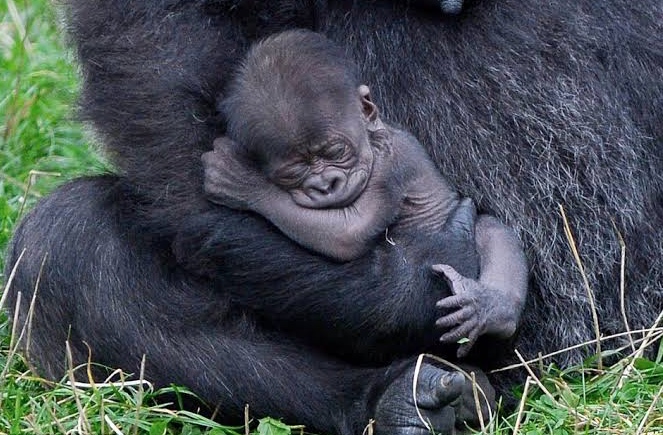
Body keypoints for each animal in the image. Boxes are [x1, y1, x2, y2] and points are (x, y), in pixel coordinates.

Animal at [205, 30, 528, 358]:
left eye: (336, 152)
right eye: (292, 173)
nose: (327, 185)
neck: (373, 137)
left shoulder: (388, 169)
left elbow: (349, 233)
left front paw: (241, 180)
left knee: (490, 230)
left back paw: (492, 308)